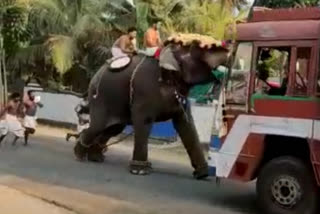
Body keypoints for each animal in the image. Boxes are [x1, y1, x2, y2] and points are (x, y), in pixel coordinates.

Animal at [74, 40, 231, 179]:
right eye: (198, 47)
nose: (229, 44)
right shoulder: (145, 91)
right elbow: (143, 121)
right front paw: (140, 171)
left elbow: (186, 125)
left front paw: (203, 175)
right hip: (101, 98)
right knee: (97, 126)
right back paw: (79, 155)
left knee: (113, 129)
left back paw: (96, 158)